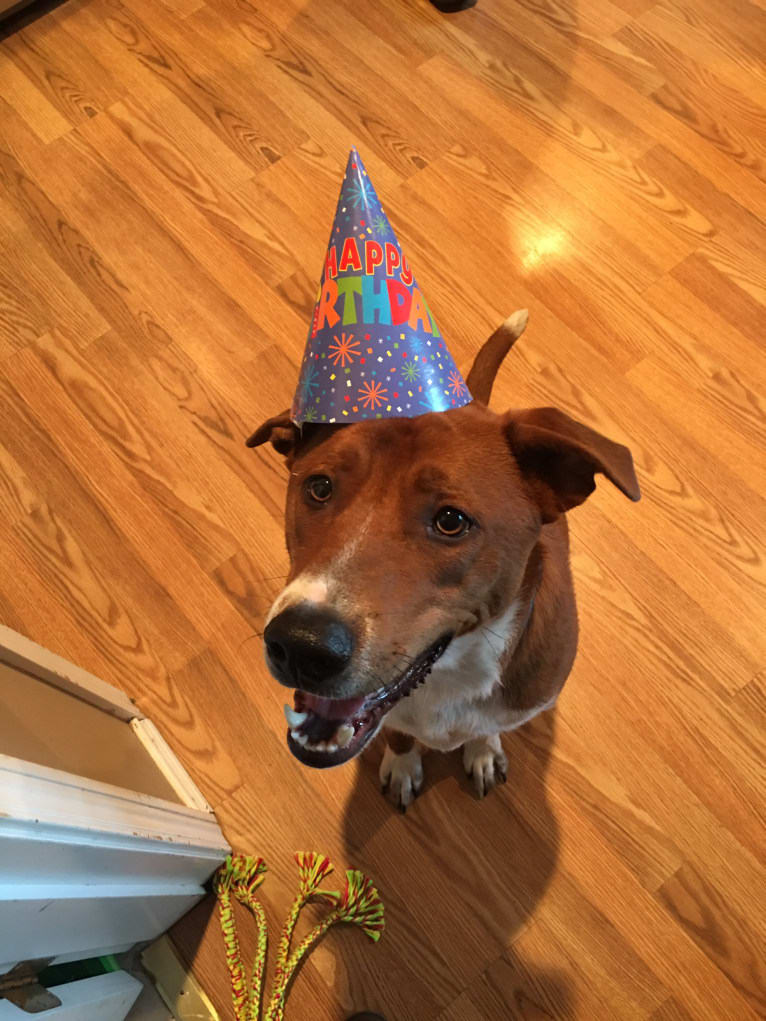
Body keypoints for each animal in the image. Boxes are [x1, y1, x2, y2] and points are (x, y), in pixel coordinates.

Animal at [247, 314, 641, 808]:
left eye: (451, 521)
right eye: (318, 487)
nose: (301, 645)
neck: (451, 673)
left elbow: (486, 729)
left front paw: (483, 752)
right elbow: (398, 734)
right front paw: (402, 765)